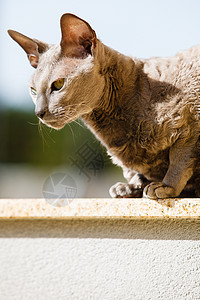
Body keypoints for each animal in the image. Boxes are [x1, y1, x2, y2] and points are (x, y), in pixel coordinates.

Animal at [7, 12, 200, 199]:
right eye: (33, 90)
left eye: (58, 84)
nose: (38, 112)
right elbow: (135, 172)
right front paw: (131, 187)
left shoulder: (190, 124)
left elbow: (179, 161)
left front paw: (166, 187)